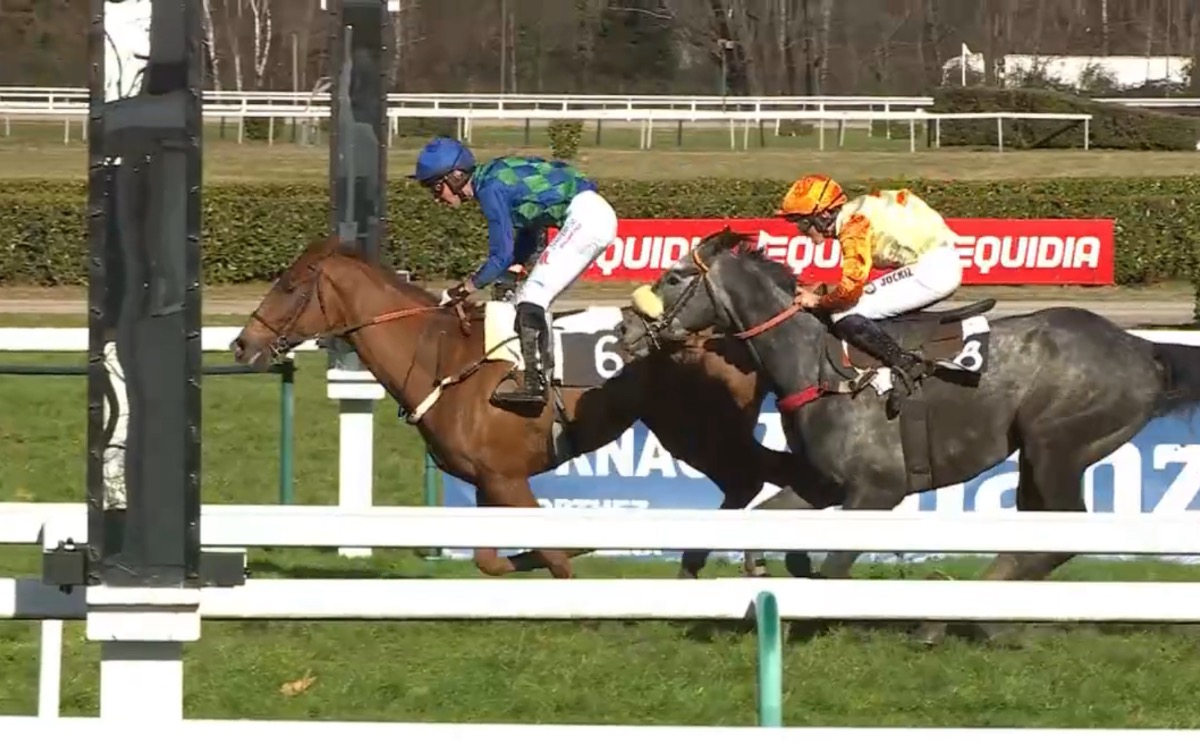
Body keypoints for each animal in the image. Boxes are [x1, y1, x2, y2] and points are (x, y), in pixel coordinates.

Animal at [229, 235, 821, 579]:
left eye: (288, 287)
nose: (241, 344)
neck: (441, 359)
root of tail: (726, 330)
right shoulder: (487, 483)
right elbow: (493, 563)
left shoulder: (508, 480)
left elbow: (554, 556)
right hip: (692, 433)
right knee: (755, 480)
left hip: (703, 431)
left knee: (766, 476)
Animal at [615, 227, 1200, 645]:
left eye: (673, 276)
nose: (624, 329)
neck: (816, 365)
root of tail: (1144, 347)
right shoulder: (822, 485)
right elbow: (770, 527)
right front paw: (769, 577)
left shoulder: (878, 491)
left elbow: (834, 568)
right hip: (1039, 458)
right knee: (1037, 538)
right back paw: (973, 619)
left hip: (1058, 445)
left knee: (1063, 534)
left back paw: (951, 618)